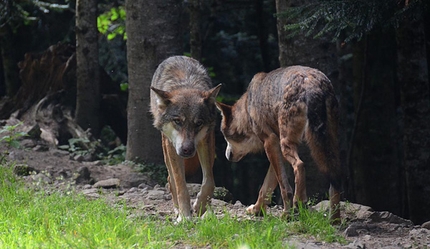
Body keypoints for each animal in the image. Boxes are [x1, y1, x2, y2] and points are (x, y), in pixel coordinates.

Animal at [149, 55, 222, 222]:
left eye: (198, 123)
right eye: (177, 121)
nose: (187, 149)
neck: (186, 85)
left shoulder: (206, 140)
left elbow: (209, 182)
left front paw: (200, 207)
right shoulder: (173, 147)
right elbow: (180, 184)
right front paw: (184, 216)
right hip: (166, 145)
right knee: (170, 180)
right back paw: (177, 210)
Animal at [217, 65, 340, 222]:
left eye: (224, 136)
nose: (227, 156)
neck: (247, 108)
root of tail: (312, 83)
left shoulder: (270, 142)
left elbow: (282, 187)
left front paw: (286, 213)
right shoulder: (276, 149)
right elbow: (266, 187)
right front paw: (256, 210)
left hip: (288, 143)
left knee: (299, 166)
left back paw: (296, 206)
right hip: (329, 144)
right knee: (335, 179)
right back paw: (335, 220)